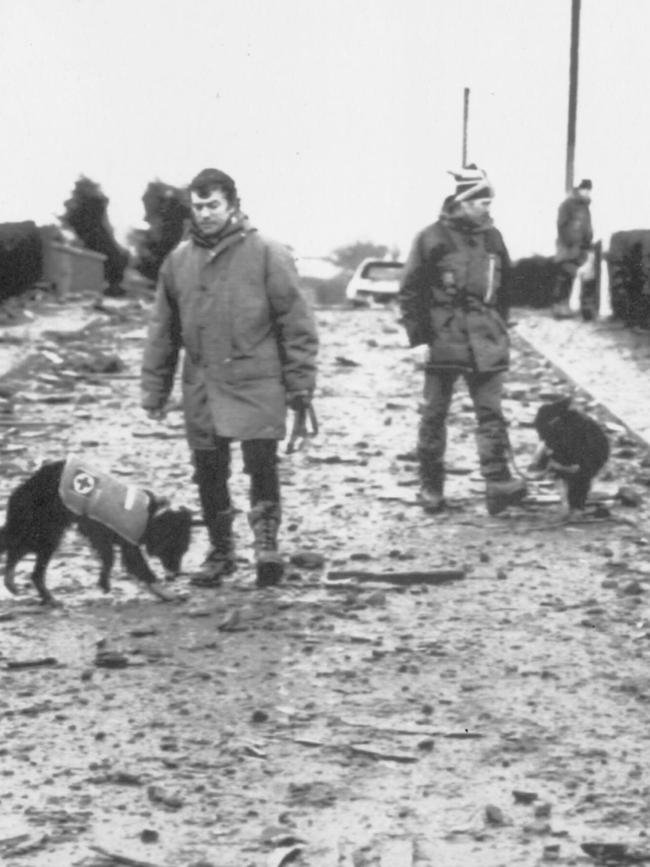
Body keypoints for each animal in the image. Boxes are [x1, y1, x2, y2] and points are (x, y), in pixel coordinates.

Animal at [0, 462, 191, 604]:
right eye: (175, 548)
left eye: (184, 550)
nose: (176, 575)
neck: (150, 515)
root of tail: (19, 491)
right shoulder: (124, 542)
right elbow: (142, 569)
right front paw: (167, 593)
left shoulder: (101, 537)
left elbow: (109, 559)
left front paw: (104, 583)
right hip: (46, 535)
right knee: (31, 568)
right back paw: (47, 597)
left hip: (40, 535)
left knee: (16, 554)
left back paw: (14, 584)